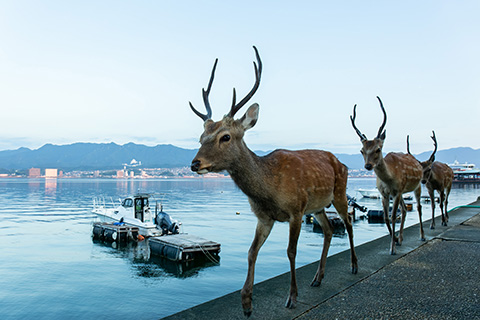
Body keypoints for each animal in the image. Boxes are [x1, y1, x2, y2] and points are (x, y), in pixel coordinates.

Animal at [189, 46, 358, 316]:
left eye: (225, 136)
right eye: (201, 137)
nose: (195, 164)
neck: (269, 190)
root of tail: (340, 162)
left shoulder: (296, 210)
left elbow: (291, 252)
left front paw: (292, 297)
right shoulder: (264, 217)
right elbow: (251, 252)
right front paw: (246, 303)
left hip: (340, 193)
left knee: (349, 223)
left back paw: (353, 265)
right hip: (318, 207)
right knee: (330, 230)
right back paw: (318, 278)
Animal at [348, 97, 424, 255]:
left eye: (378, 149)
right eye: (362, 150)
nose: (368, 166)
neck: (389, 179)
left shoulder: (397, 191)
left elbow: (393, 216)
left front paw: (392, 249)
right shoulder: (385, 193)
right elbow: (386, 217)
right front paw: (394, 240)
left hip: (417, 185)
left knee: (419, 208)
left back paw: (422, 235)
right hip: (402, 192)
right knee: (404, 210)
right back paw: (400, 239)